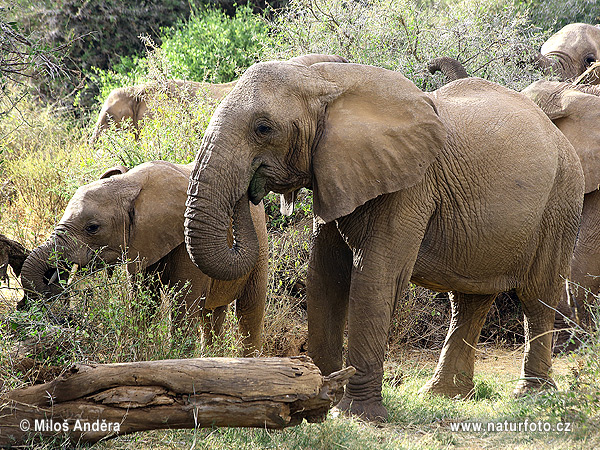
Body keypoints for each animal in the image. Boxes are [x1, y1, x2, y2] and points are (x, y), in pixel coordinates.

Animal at [19, 161, 268, 356]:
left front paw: (176, 359)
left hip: (261, 248)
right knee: (212, 315)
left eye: (92, 228)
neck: (129, 183)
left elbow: (183, 304)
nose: (53, 281)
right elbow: (143, 299)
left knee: (249, 311)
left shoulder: (186, 240)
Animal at [184, 57, 584, 422]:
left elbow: (375, 278)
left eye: (263, 128)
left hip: (562, 200)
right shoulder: (338, 172)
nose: (251, 190)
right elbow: (325, 277)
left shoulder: (410, 186)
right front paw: (319, 402)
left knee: (536, 296)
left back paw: (530, 395)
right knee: (468, 301)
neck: (326, 78)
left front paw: (356, 413)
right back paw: (445, 395)